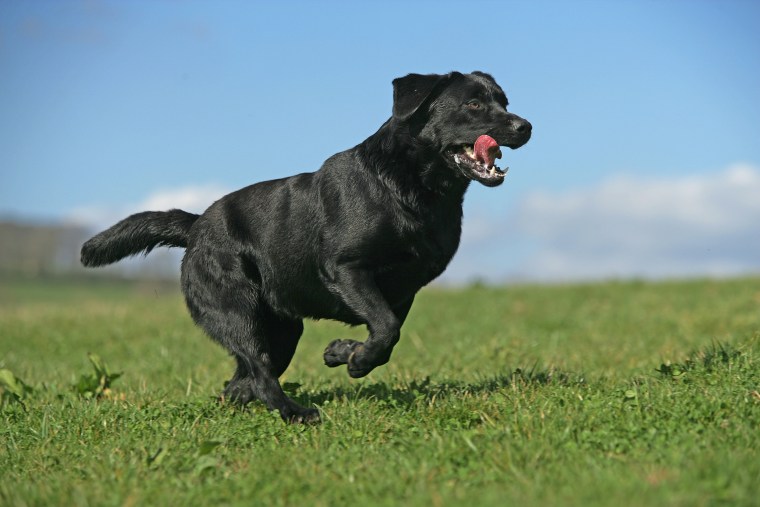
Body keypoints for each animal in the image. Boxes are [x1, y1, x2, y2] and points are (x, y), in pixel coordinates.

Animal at [80, 71, 532, 424]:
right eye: (473, 103)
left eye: (504, 101)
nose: (525, 126)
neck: (408, 189)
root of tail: (196, 226)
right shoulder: (347, 268)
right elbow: (386, 328)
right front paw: (354, 359)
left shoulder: (405, 289)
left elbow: (386, 333)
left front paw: (343, 352)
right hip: (236, 310)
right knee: (260, 373)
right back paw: (296, 413)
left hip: (282, 329)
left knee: (246, 377)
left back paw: (243, 399)